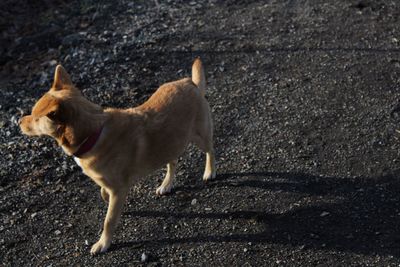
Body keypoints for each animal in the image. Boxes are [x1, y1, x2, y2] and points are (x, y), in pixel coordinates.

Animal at [19, 59, 216, 255]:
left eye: (35, 117)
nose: (19, 122)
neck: (94, 133)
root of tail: (189, 82)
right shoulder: (111, 185)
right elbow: (103, 193)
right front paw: (112, 203)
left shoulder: (118, 188)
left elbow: (109, 220)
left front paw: (103, 242)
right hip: (170, 143)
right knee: (173, 161)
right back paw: (167, 184)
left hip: (200, 136)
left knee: (211, 150)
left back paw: (209, 171)